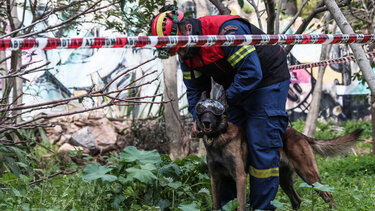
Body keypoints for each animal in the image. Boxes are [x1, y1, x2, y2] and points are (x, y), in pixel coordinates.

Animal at [195, 92, 366, 211]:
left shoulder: (240, 176)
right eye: (201, 109)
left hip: (308, 174)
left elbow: (240, 204)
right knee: (297, 200)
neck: (218, 137)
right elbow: (216, 204)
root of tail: (299, 134)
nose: (206, 122)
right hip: (284, 179)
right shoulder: (215, 178)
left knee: (328, 195)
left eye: (215, 110)